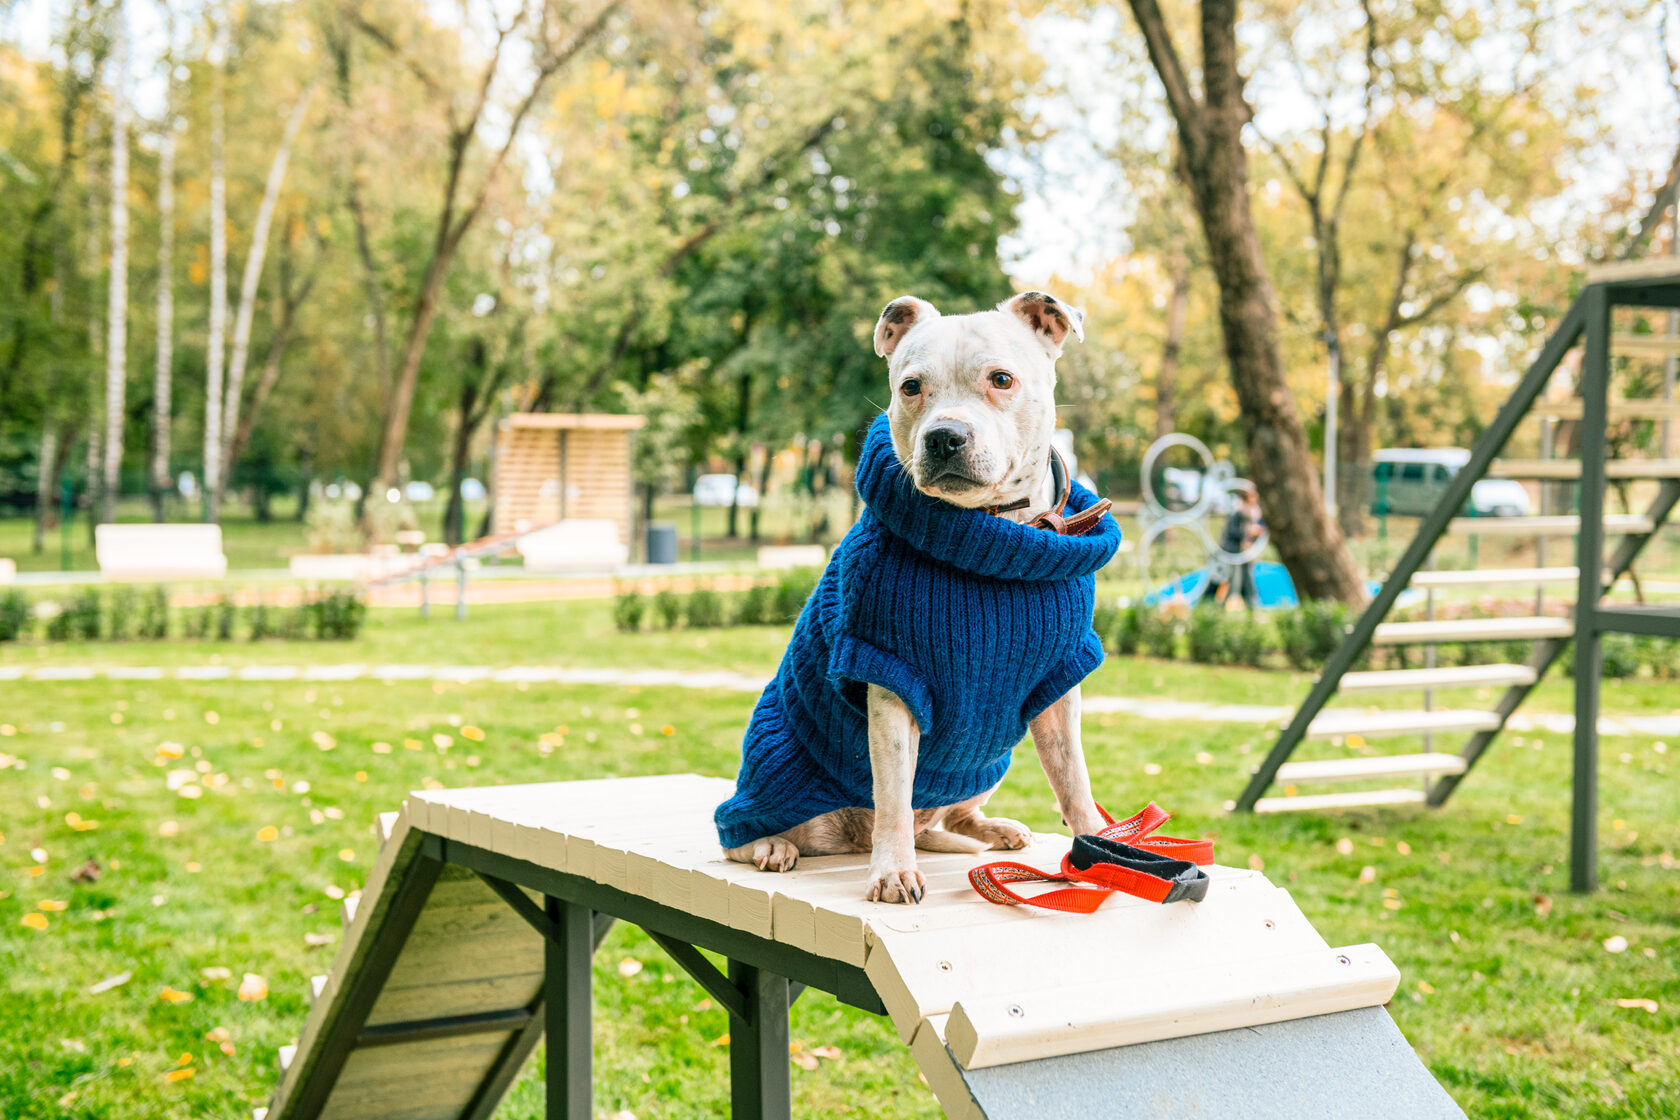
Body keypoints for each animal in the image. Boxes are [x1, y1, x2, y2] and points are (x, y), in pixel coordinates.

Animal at [708, 288, 1115, 900]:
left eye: (1001, 379)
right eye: (910, 387)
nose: (944, 436)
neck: (989, 531)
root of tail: (850, 839)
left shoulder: (1059, 687)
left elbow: (1075, 781)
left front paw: (1106, 851)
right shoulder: (888, 678)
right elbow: (895, 792)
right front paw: (893, 870)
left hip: (984, 761)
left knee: (950, 817)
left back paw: (988, 831)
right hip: (773, 771)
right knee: (742, 829)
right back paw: (772, 845)